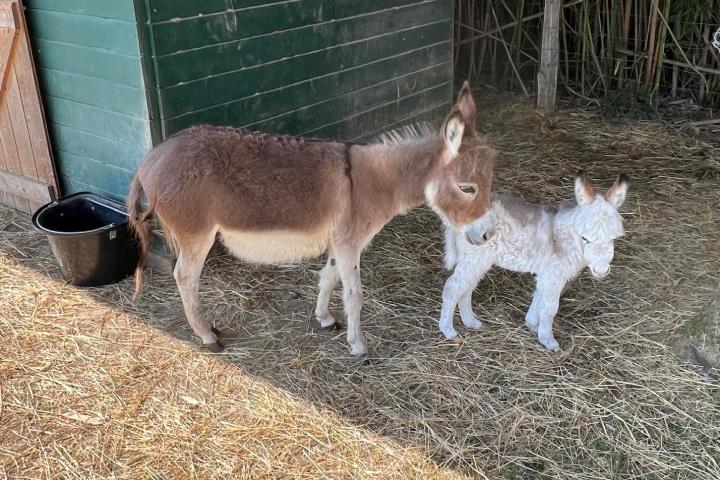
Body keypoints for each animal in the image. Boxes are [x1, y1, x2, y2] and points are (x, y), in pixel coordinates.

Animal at [436, 171, 628, 350]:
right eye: (584, 237)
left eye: (613, 238)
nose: (601, 270)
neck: (565, 237)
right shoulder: (553, 274)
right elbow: (550, 308)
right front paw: (549, 341)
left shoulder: (546, 273)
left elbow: (539, 298)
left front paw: (532, 325)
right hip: (475, 257)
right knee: (452, 288)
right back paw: (449, 332)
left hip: (478, 260)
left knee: (466, 289)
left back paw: (471, 322)